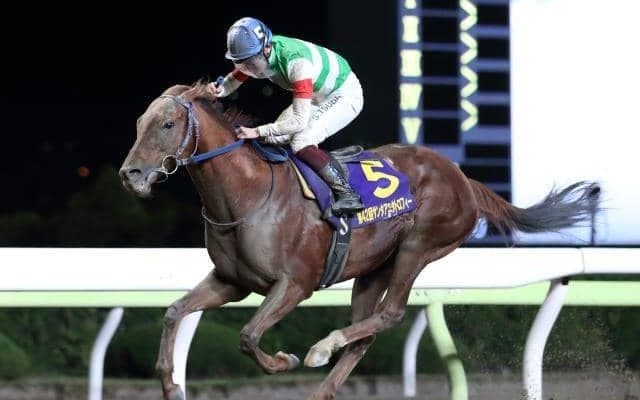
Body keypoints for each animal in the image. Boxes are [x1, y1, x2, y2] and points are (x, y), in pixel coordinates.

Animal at [119, 81, 600, 400]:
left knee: (390, 314)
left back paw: (321, 348)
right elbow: (175, 312)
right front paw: (170, 383)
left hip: (419, 247)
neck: (250, 194)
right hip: (372, 267)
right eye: (140, 122)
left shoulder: (295, 284)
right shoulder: (230, 282)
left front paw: (286, 360)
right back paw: (324, 383)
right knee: (366, 334)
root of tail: (462, 176)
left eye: (167, 124)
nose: (131, 175)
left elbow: (249, 335)